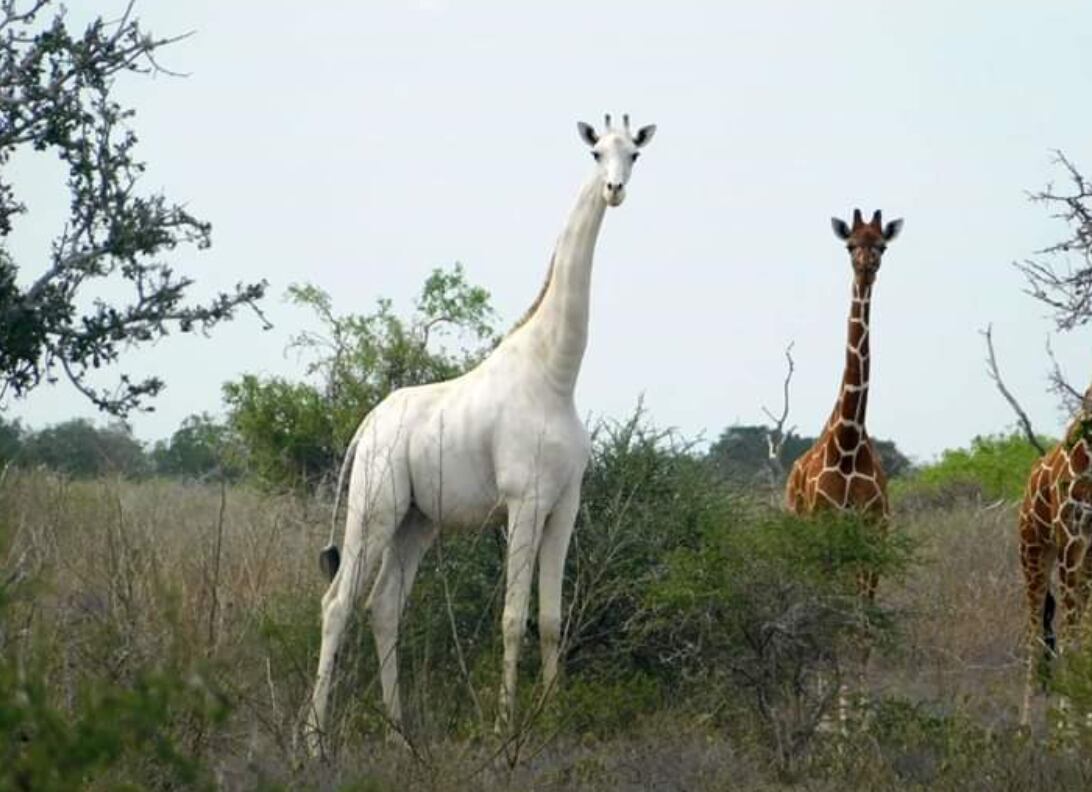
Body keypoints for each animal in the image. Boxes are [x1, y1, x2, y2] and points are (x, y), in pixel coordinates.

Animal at [303, 114, 656, 754]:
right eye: (596, 152)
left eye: (635, 155)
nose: (615, 190)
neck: (555, 375)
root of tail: (365, 426)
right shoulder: (524, 501)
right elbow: (513, 618)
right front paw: (503, 733)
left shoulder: (565, 504)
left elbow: (551, 619)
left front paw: (551, 721)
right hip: (374, 506)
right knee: (338, 602)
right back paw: (314, 743)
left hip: (417, 521)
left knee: (383, 606)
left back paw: (401, 736)